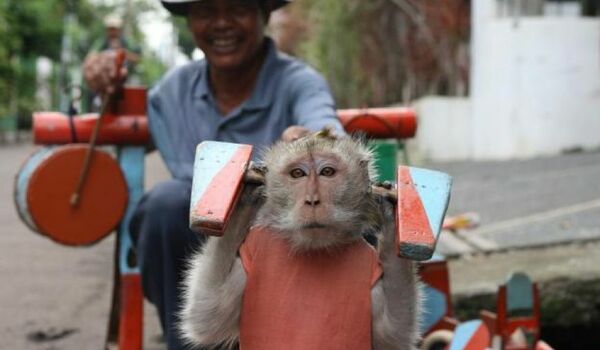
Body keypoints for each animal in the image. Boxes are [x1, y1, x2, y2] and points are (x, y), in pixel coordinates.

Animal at [180, 131, 420, 350]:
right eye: (298, 173)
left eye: (327, 172)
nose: (312, 200)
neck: (313, 248)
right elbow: (209, 314)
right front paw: (243, 198)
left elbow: (391, 334)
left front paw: (393, 213)